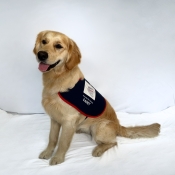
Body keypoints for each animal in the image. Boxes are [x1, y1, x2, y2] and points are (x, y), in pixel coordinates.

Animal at [33, 30, 161, 165]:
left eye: (58, 46)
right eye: (44, 41)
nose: (41, 54)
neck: (56, 80)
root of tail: (118, 126)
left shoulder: (68, 120)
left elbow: (63, 142)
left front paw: (58, 158)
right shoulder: (54, 118)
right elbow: (52, 138)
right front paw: (47, 152)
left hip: (99, 128)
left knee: (113, 142)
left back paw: (99, 149)